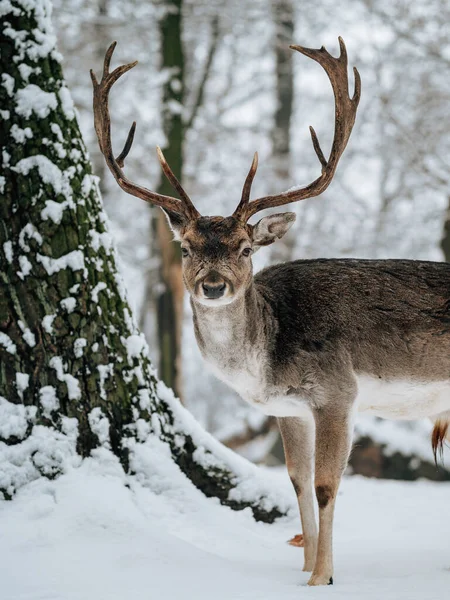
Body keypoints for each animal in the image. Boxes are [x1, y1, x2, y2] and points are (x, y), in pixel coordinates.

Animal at [91, 38, 450, 584]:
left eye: (244, 248)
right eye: (187, 248)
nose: (213, 285)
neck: (264, 361)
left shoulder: (337, 391)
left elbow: (325, 485)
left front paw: (322, 578)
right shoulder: (288, 408)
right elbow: (297, 480)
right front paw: (305, 566)